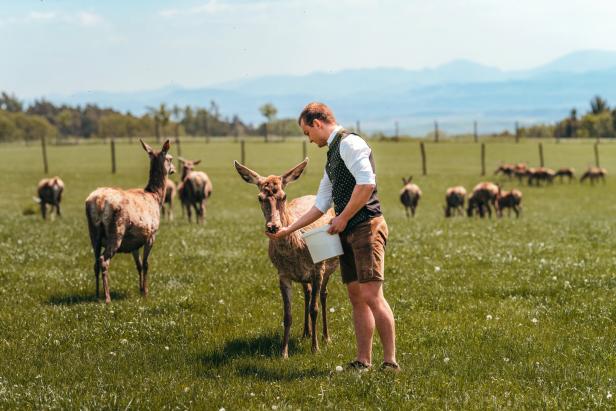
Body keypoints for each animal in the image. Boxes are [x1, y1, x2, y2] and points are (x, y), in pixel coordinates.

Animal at [236, 159, 342, 358]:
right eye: (260, 197)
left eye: (283, 196)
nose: (273, 226)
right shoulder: (283, 274)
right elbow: (287, 315)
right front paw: (283, 352)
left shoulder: (318, 269)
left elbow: (314, 309)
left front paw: (315, 348)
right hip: (303, 277)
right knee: (308, 293)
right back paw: (305, 333)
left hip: (329, 267)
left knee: (323, 295)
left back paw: (326, 337)